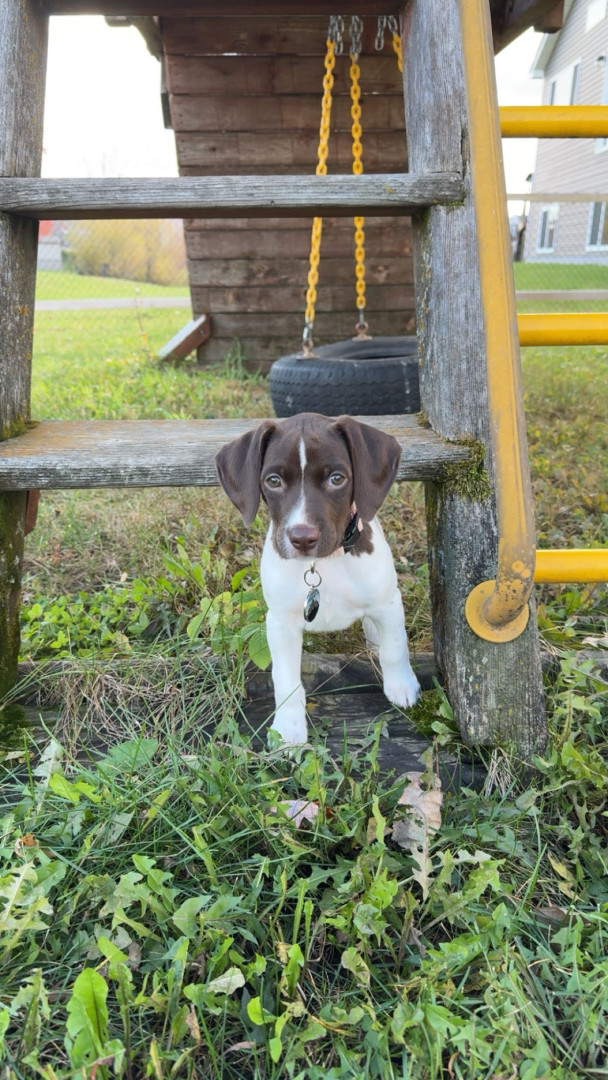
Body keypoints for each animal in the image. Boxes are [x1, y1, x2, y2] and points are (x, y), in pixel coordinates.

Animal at [215, 412, 420, 744]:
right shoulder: (280, 623)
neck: (321, 564)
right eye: (273, 481)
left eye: (336, 479)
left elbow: (395, 647)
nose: (302, 538)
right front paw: (288, 729)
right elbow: (285, 679)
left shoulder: (387, 602)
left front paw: (401, 685)